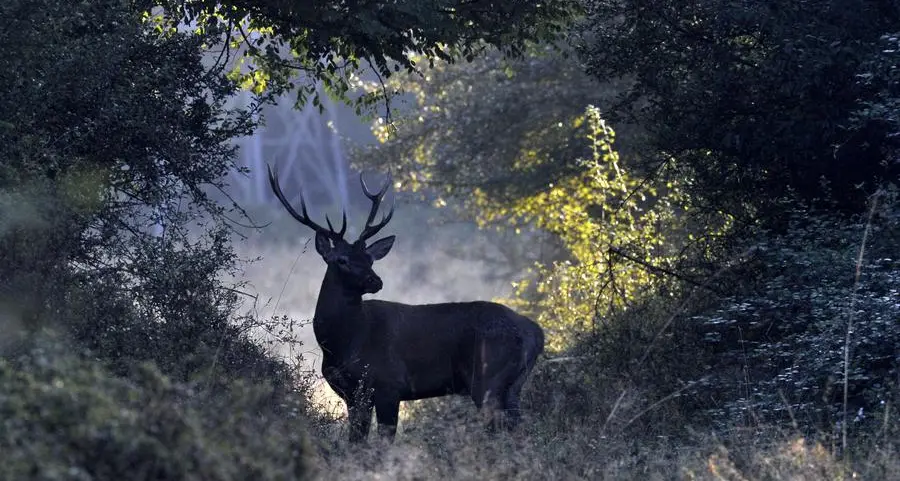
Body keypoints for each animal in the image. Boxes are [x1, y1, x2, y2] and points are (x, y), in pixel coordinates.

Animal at [267, 165, 545, 443]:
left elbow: (384, 441)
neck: (343, 342)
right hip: (514, 383)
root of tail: (536, 332)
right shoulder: (353, 395)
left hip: (488, 377)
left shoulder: (389, 384)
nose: (375, 280)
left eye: (369, 259)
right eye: (342, 260)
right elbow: (356, 442)